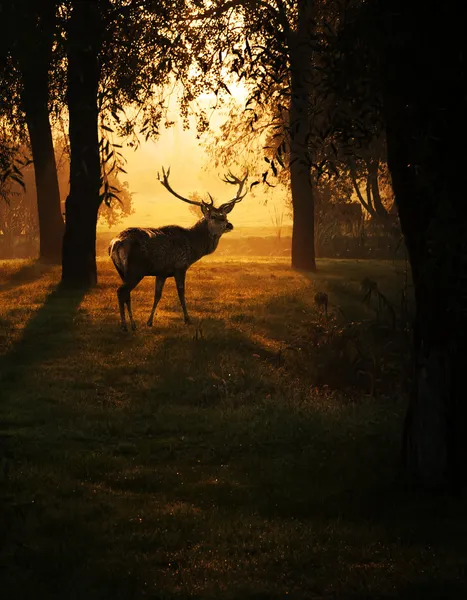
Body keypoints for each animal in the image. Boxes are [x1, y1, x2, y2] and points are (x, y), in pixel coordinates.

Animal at [109, 166, 249, 330]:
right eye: (214, 216)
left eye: (225, 216)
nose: (229, 225)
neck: (193, 246)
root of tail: (116, 243)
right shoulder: (180, 266)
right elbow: (181, 293)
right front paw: (187, 319)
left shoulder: (162, 272)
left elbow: (157, 295)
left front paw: (149, 321)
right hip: (136, 269)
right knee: (121, 291)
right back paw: (125, 326)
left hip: (121, 270)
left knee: (126, 294)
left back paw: (133, 324)